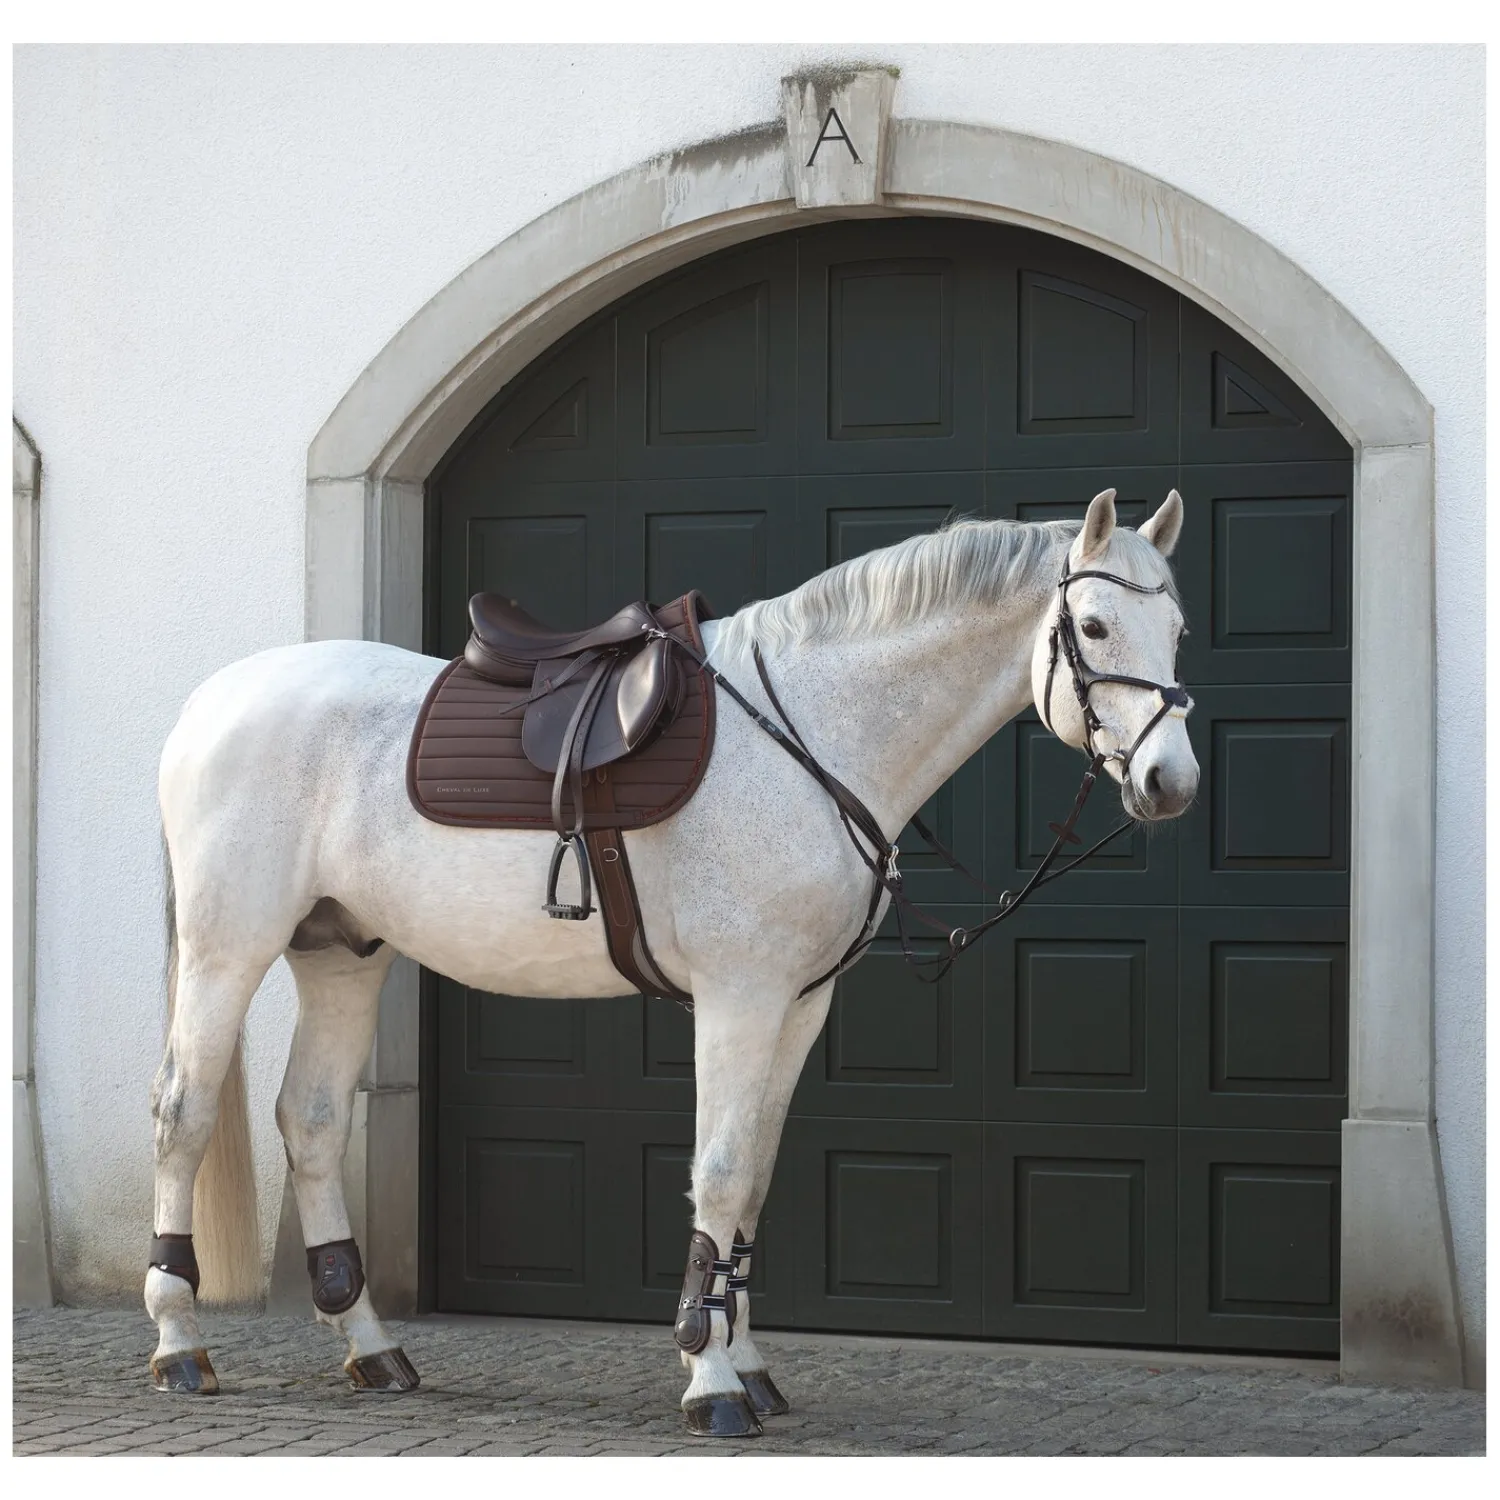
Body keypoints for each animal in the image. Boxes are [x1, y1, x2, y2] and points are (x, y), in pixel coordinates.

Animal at [145, 487, 1197, 1437]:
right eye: (1094, 625)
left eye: (1180, 627)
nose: (1170, 782)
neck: (813, 733)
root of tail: (209, 702)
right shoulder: (739, 997)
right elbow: (721, 1173)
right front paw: (712, 1381)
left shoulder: (799, 1006)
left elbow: (756, 1181)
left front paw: (749, 1365)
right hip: (230, 948)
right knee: (183, 1116)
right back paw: (180, 1344)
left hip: (343, 955)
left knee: (312, 1122)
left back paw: (372, 1349)